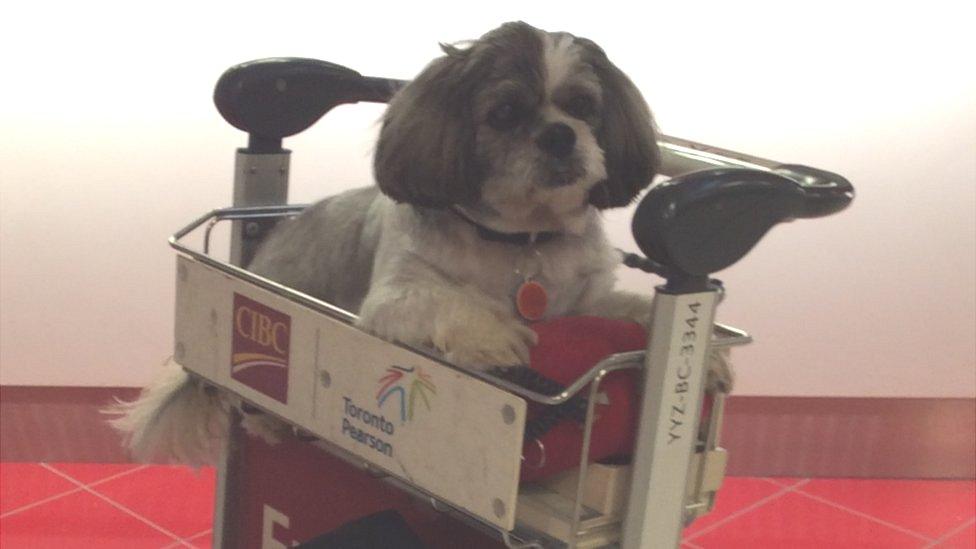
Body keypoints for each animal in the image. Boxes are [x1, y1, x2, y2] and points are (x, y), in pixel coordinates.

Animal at [110, 23, 680, 464]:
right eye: (504, 114)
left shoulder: (582, 301)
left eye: (583, 106)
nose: (561, 134)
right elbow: (451, 300)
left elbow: (622, 309)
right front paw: (494, 333)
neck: (519, 242)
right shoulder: (398, 296)